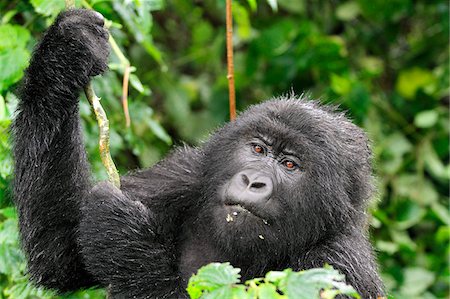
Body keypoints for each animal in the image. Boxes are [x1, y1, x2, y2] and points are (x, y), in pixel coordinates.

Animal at [12, 8, 384, 299]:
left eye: (290, 165)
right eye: (258, 148)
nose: (253, 181)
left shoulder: (337, 269)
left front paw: (122, 234)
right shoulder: (185, 174)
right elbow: (61, 254)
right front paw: (68, 49)